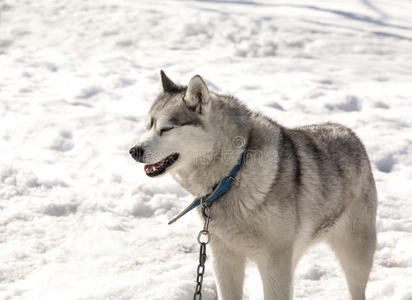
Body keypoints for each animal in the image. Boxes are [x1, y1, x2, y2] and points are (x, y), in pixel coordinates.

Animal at [129, 71, 376, 300]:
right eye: (148, 126)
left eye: (166, 129)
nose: (134, 150)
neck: (231, 175)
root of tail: (349, 132)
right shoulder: (224, 258)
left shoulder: (274, 261)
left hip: (355, 254)